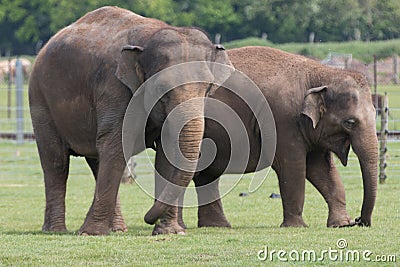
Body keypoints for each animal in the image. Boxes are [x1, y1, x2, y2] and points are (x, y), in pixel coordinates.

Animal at [28, 6, 231, 236]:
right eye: (161, 88)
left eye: (208, 87)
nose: (147, 219)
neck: (149, 37)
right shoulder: (114, 87)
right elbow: (116, 144)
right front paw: (90, 233)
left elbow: (168, 152)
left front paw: (170, 232)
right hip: (40, 99)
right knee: (56, 162)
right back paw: (55, 230)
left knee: (96, 159)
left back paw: (118, 229)